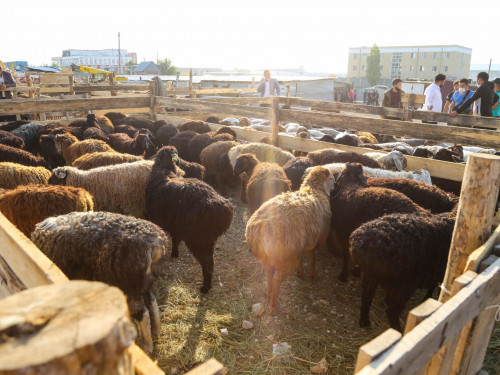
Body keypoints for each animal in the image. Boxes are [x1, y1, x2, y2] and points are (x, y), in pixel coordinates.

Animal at [31, 212, 169, 356]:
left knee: (143, 314)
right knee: (152, 303)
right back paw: (157, 331)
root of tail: (155, 246)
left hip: (128, 285)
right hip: (144, 283)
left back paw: (147, 346)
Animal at [145, 146, 234, 294]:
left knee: (207, 263)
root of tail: (223, 208)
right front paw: (175, 253)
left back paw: (205, 287)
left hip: (198, 239)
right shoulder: (174, 223)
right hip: (209, 240)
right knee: (211, 261)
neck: (164, 170)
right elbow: (175, 237)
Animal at [246, 167, 336, 314]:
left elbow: (302, 257)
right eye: (332, 178)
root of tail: (260, 228)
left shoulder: (304, 244)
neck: (314, 190)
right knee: (277, 279)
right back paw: (273, 305)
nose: (335, 186)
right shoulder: (317, 239)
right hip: (286, 257)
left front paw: (300, 271)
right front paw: (312, 274)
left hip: (271, 257)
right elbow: (312, 257)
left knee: (269, 273)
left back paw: (269, 293)